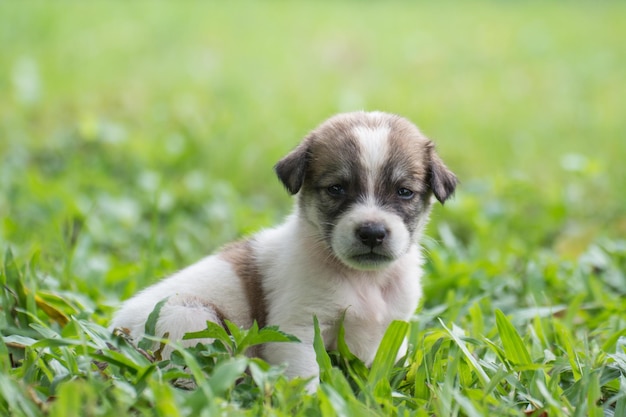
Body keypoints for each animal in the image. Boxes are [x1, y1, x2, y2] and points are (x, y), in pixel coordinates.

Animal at [112, 109, 454, 386]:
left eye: (404, 192)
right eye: (336, 189)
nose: (372, 233)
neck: (364, 281)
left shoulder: (392, 330)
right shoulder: (296, 331)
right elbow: (305, 379)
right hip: (189, 317)